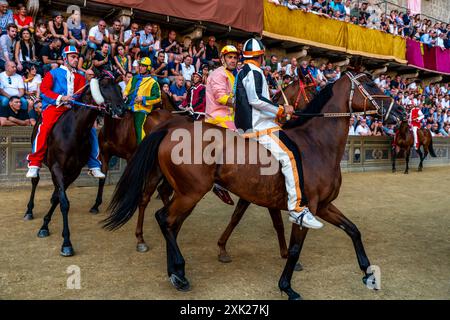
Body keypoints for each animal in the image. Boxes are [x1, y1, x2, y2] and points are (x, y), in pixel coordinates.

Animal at [103, 71, 406, 298]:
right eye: (370, 84)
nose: (401, 111)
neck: (317, 144)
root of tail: (167, 128)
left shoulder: (322, 206)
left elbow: (353, 230)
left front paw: (368, 273)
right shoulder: (305, 208)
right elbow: (294, 248)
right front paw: (287, 287)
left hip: (184, 192)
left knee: (169, 222)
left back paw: (175, 273)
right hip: (190, 192)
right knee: (162, 217)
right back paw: (176, 268)